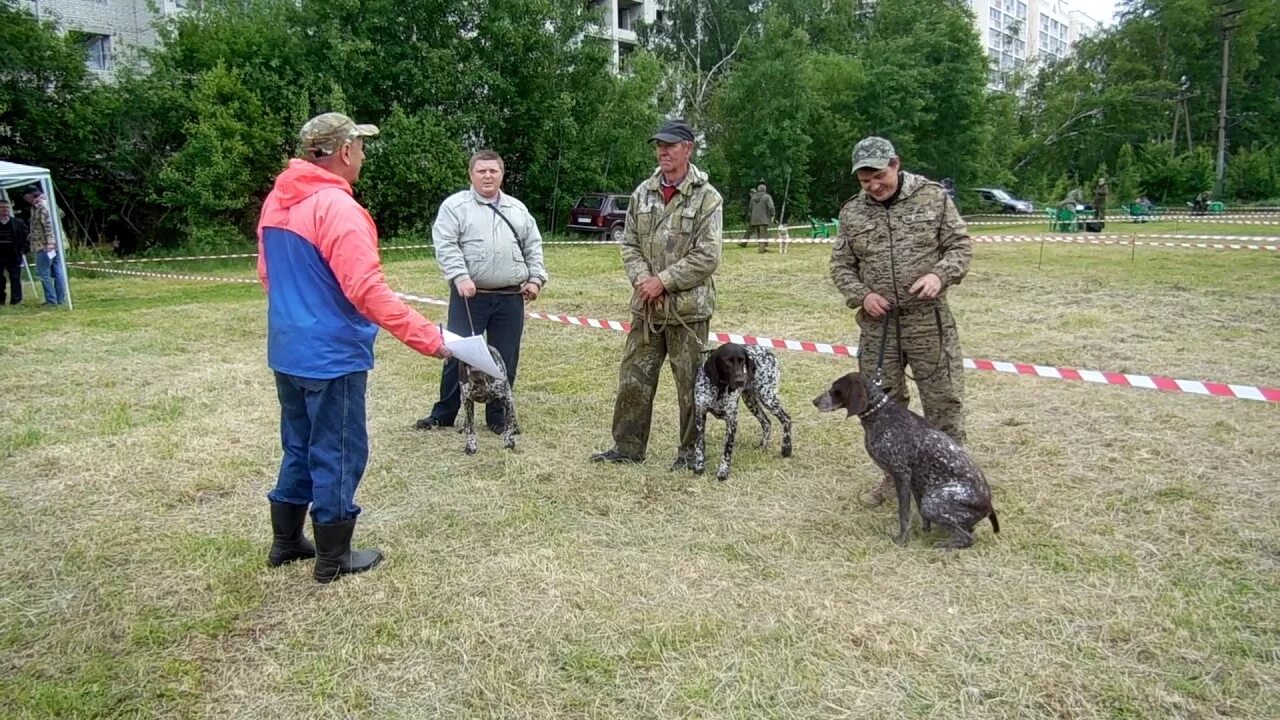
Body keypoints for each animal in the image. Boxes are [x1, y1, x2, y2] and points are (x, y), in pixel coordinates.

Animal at [691, 340, 788, 479]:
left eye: (743, 361)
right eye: (727, 361)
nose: (741, 380)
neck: (720, 388)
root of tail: (770, 353)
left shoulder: (732, 421)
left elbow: (727, 449)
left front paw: (723, 471)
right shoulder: (700, 415)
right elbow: (699, 443)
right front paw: (699, 465)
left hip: (768, 397)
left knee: (786, 419)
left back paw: (786, 448)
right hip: (750, 400)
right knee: (766, 422)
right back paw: (763, 446)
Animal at [808, 371, 998, 545]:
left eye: (835, 389)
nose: (815, 401)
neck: (880, 414)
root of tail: (989, 506)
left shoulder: (901, 474)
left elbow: (904, 512)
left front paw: (901, 540)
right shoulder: (913, 479)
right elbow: (919, 514)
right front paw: (923, 531)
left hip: (933, 502)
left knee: (967, 538)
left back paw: (942, 545)